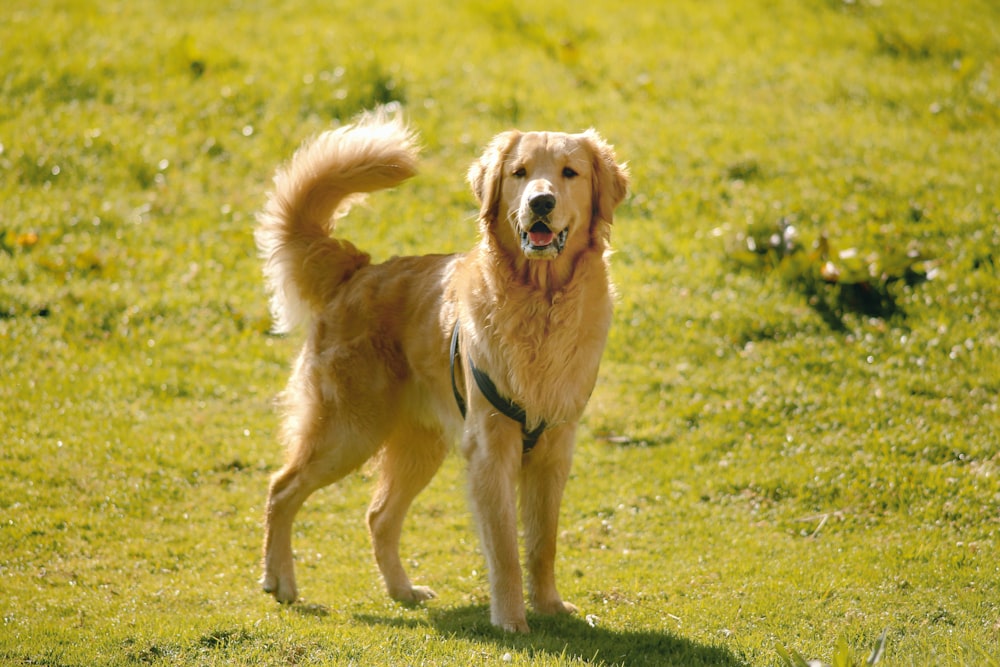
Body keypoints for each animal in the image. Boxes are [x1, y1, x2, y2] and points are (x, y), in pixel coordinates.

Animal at [256, 108, 624, 632]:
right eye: (520, 173)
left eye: (569, 173)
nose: (541, 201)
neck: (540, 302)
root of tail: (357, 269)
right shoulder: (491, 450)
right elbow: (505, 550)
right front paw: (511, 621)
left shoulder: (555, 448)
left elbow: (542, 543)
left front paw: (550, 606)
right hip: (349, 430)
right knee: (282, 488)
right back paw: (280, 581)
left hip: (418, 445)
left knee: (378, 516)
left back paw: (402, 590)